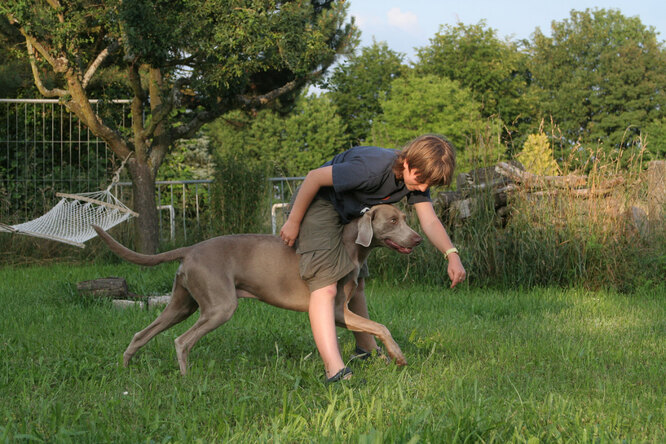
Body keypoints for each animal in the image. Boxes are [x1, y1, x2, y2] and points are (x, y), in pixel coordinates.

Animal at [92, 205, 420, 374]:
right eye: (393, 220)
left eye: (406, 218)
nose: (417, 239)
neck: (350, 245)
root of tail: (191, 249)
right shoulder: (338, 310)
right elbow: (381, 326)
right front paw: (399, 356)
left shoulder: (344, 311)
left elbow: (373, 328)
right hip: (220, 306)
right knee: (182, 341)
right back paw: (186, 379)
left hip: (182, 304)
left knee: (142, 333)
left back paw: (125, 368)